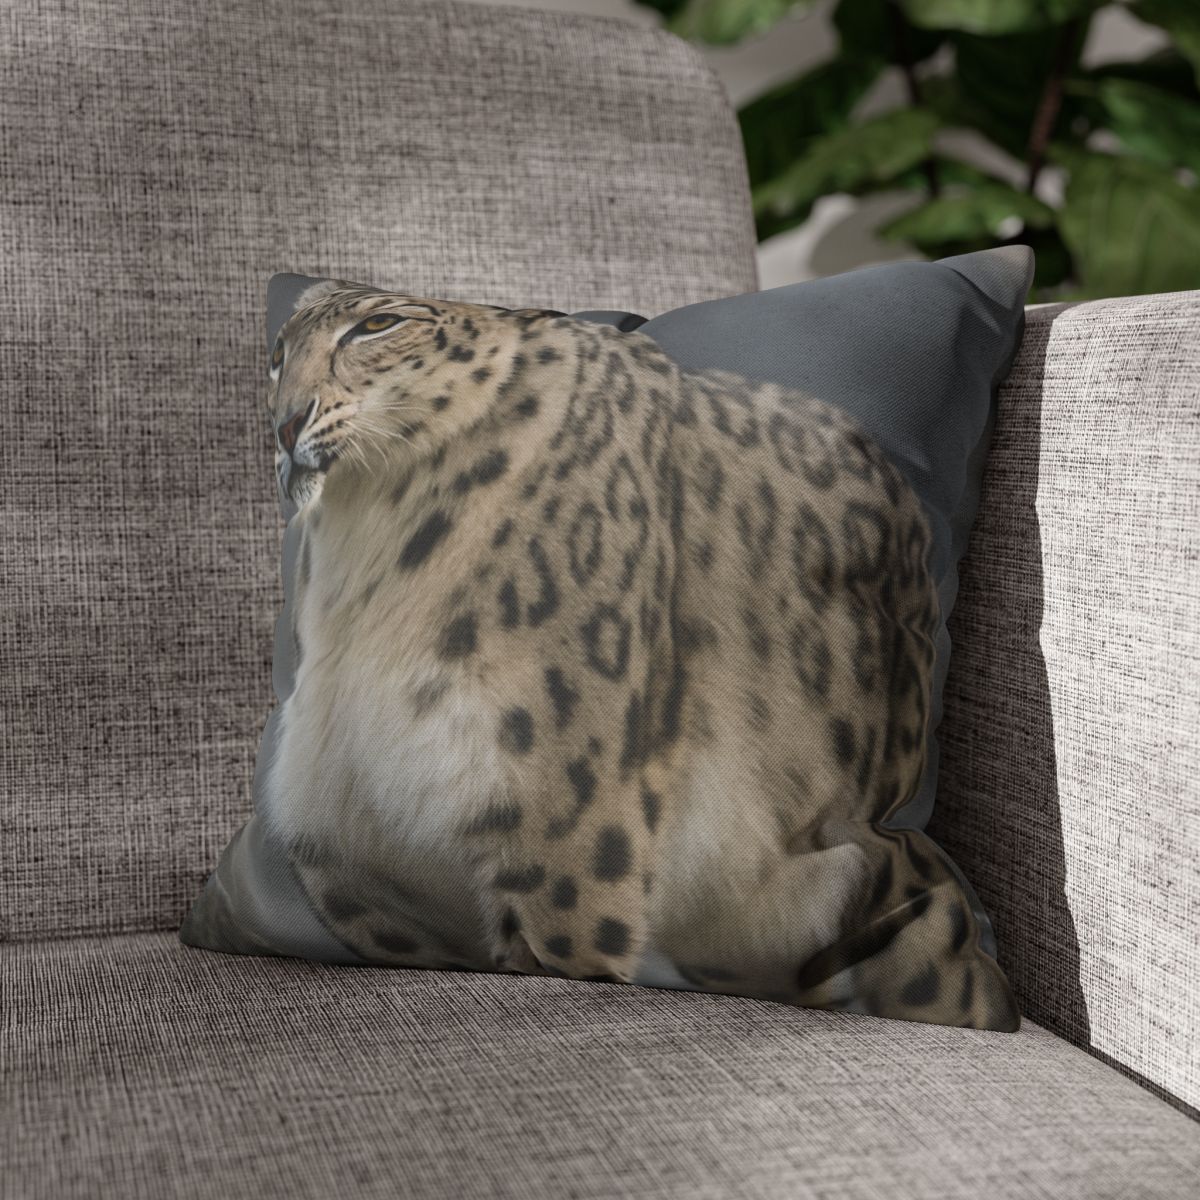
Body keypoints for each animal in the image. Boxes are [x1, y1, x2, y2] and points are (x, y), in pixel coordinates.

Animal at [256, 278, 1019, 1031]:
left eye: (378, 325)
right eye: (277, 353)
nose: (286, 424)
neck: (367, 565)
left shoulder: (567, 842)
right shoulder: (355, 872)